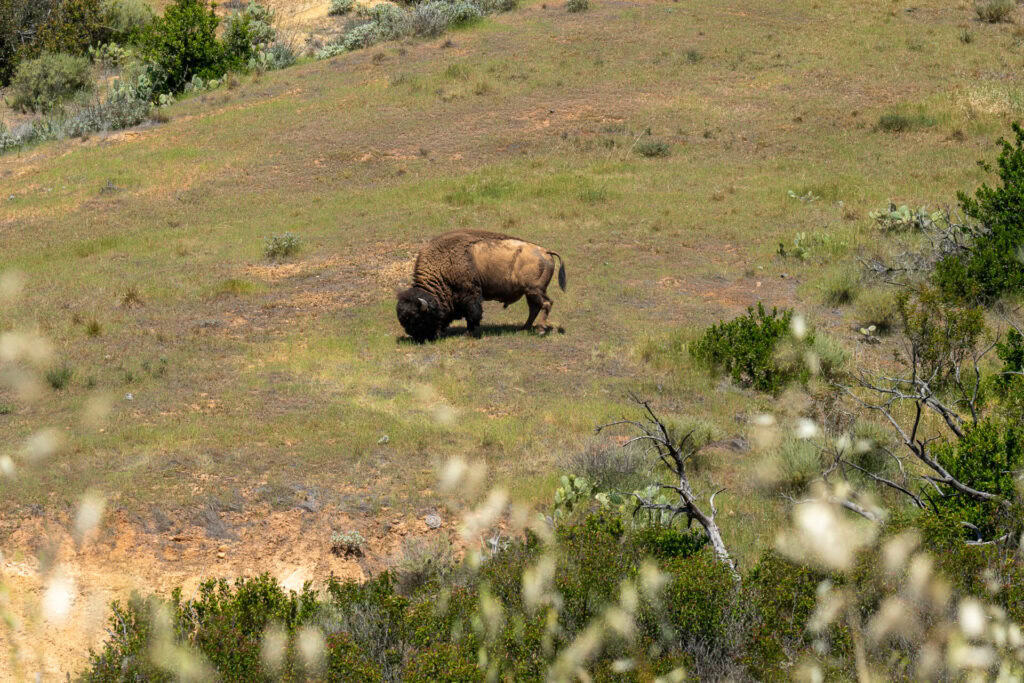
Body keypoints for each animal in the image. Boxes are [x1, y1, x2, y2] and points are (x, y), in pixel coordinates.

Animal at [396, 230, 567, 342]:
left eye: (418, 318)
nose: (419, 338)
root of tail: (545, 251)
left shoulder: (470, 295)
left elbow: (473, 314)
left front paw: (468, 334)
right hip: (530, 292)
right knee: (535, 308)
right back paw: (524, 328)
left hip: (534, 290)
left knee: (546, 304)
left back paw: (540, 330)